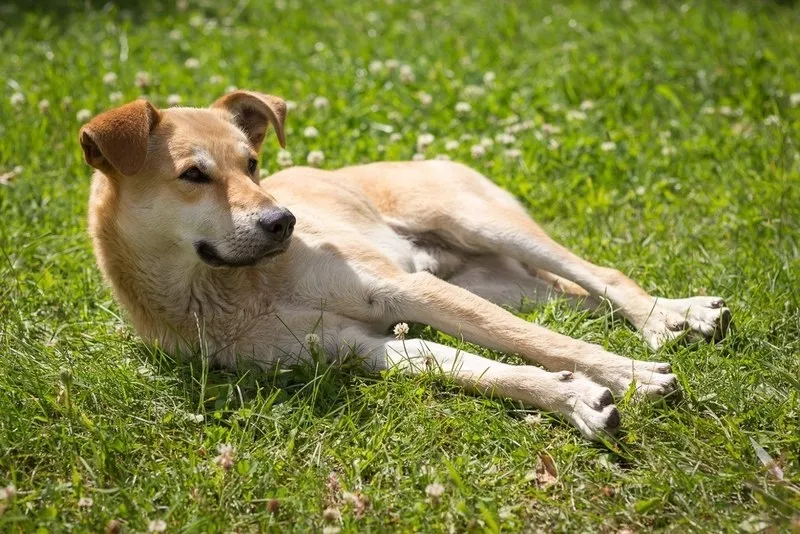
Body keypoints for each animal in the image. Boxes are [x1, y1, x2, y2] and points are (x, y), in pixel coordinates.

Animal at [81, 92, 732, 442]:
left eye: (253, 164)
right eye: (193, 175)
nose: (284, 221)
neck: (231, 287)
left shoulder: (402, 290)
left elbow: (543, 343)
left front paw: (629, 373)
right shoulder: (353, 346)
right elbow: (475, 367)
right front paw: (571, 398)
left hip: (479, 223)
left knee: (603, 278)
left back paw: (666, 319)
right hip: (498, 284)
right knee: (577, 297)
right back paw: (674, 317)